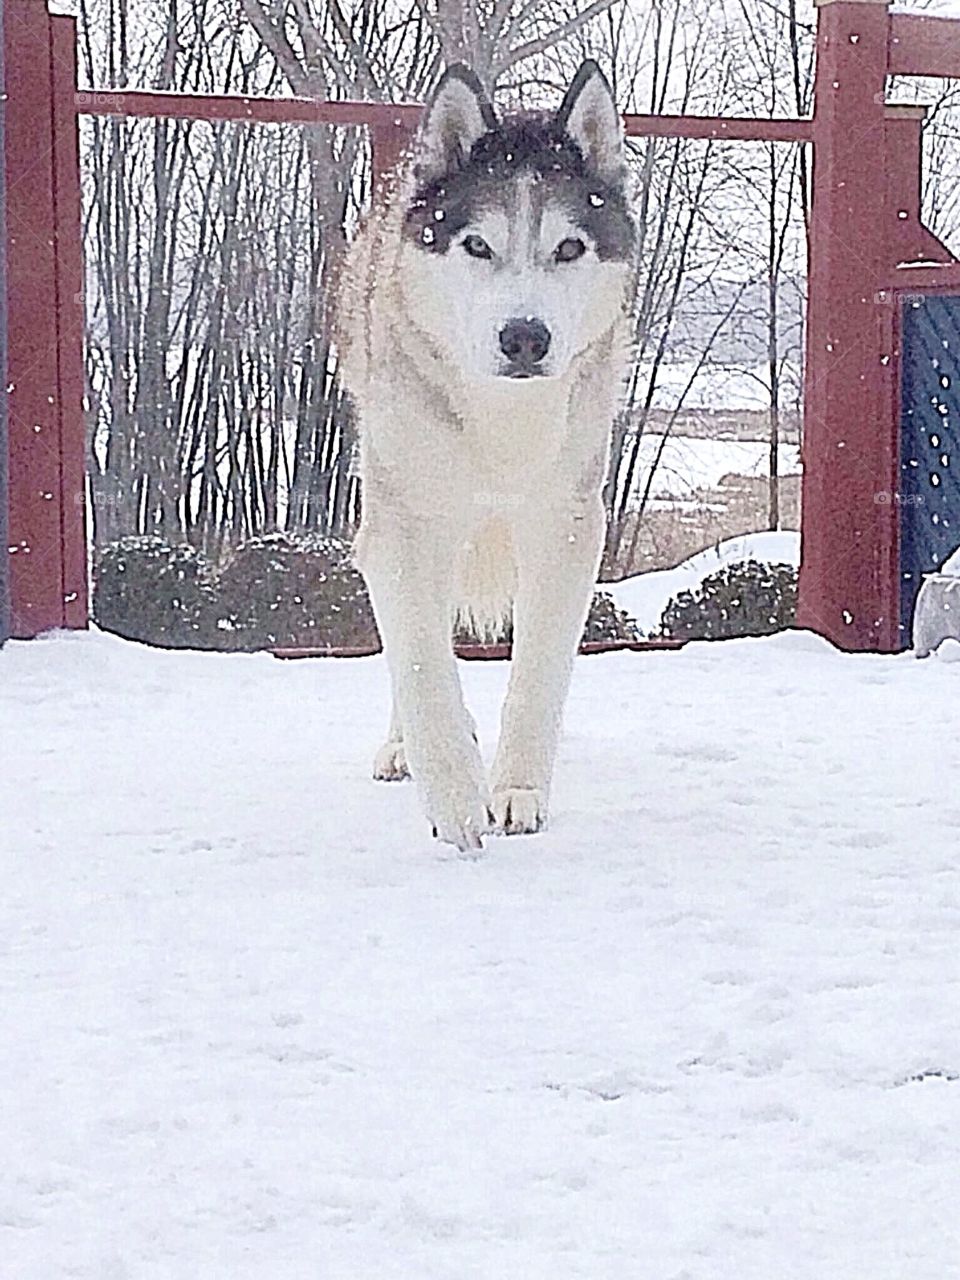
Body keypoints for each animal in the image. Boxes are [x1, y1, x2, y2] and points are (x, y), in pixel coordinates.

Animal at [337, 60, 640, 849]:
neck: (502, 426)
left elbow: (540, 672)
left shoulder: (565, 526)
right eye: (476, 245)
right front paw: (452, 793)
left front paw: (517, 790)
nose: (525, 336)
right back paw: (403, 749)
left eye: (569, 248)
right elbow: (419, 662)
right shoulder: (406, 524)